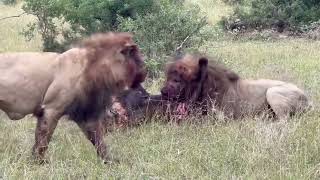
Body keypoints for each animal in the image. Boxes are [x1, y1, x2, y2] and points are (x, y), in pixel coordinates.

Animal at [0, 32, 146, 163]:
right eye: (137, 58)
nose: (145, 72)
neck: (95, 68)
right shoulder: (51, 109)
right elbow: (42, 140)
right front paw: (37, 162)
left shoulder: (85, 114)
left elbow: (99, 141)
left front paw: (110, 161)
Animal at [161, 54, 312, 120]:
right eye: (167, 78)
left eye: (176, 80)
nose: (162, 91)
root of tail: (309, 101)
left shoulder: (224, 118)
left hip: (272, 92)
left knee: (284, 121)